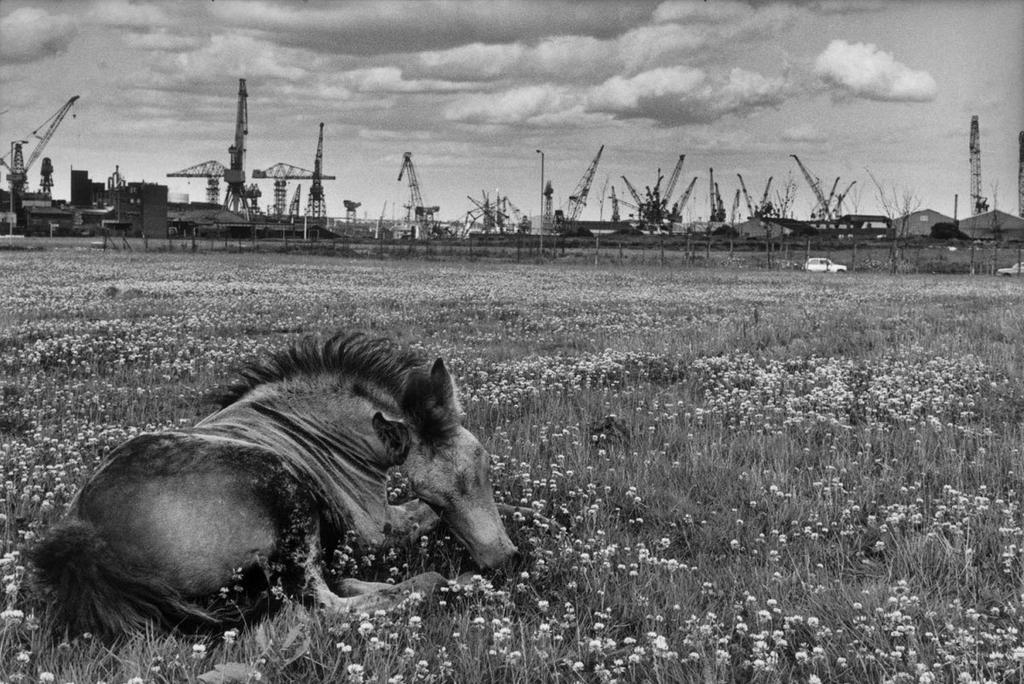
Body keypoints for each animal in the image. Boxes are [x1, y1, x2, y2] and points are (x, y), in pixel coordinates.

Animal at [30, 332, 521, 636]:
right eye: (432, 494)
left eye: (484, 464)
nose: (504, 559)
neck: (315, 429)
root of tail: (86, 536)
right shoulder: (376, 528)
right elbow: (420, 520)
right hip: (287, 493)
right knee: (325, 604)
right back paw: (454, 582)